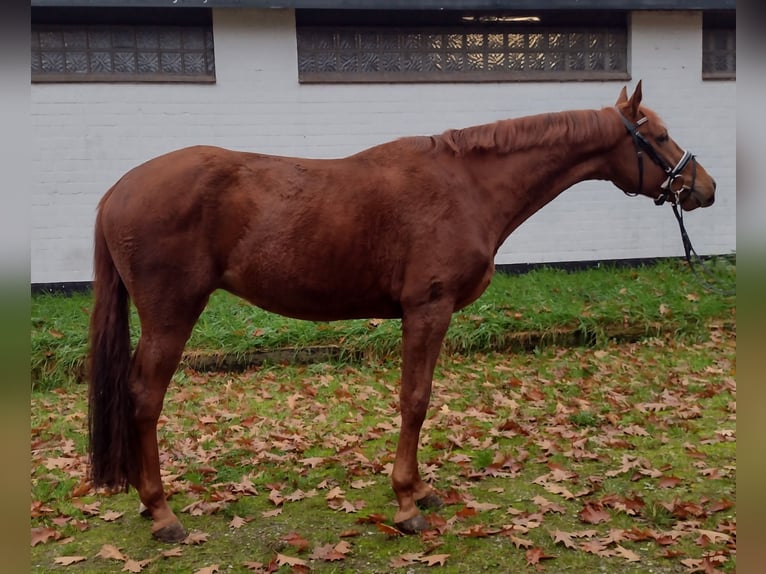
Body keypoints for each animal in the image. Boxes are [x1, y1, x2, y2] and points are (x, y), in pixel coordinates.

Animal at [90, 83, 720, 544]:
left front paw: (418, 491)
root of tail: (117, 190)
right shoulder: (427, 310)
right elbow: (414, 401)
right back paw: (163, 513)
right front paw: (406, 504)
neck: (467, 186)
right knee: (145, 397)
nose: (704, 188)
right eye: (659, 135)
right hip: (173, 315)